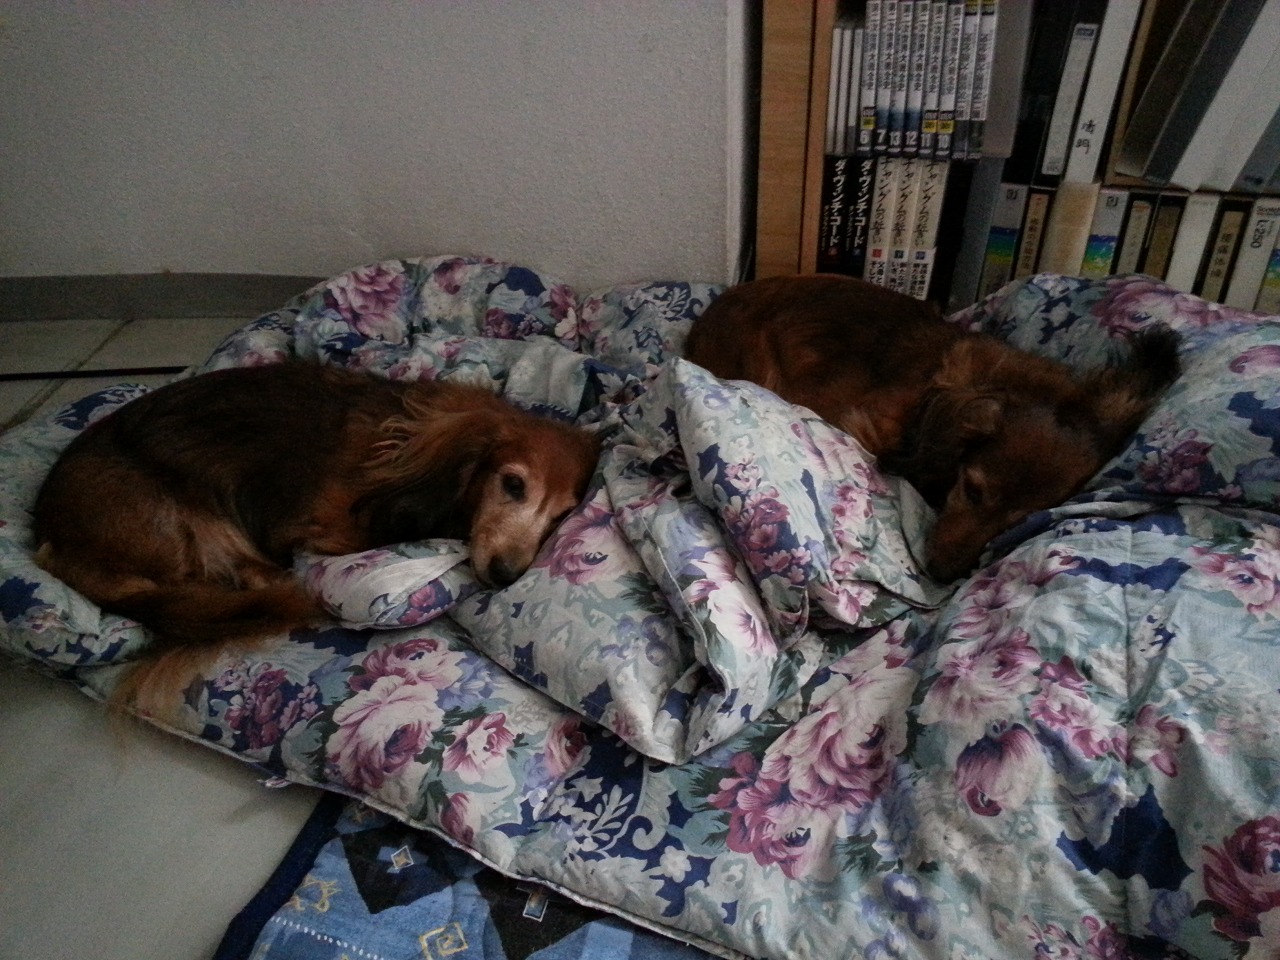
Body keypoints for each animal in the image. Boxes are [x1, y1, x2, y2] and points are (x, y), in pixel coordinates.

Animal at [33, 362, 601, 659]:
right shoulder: (326, 527)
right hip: (190, 519)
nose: (506, 575)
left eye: (560, 516)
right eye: (512, 484)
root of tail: (52, 538)